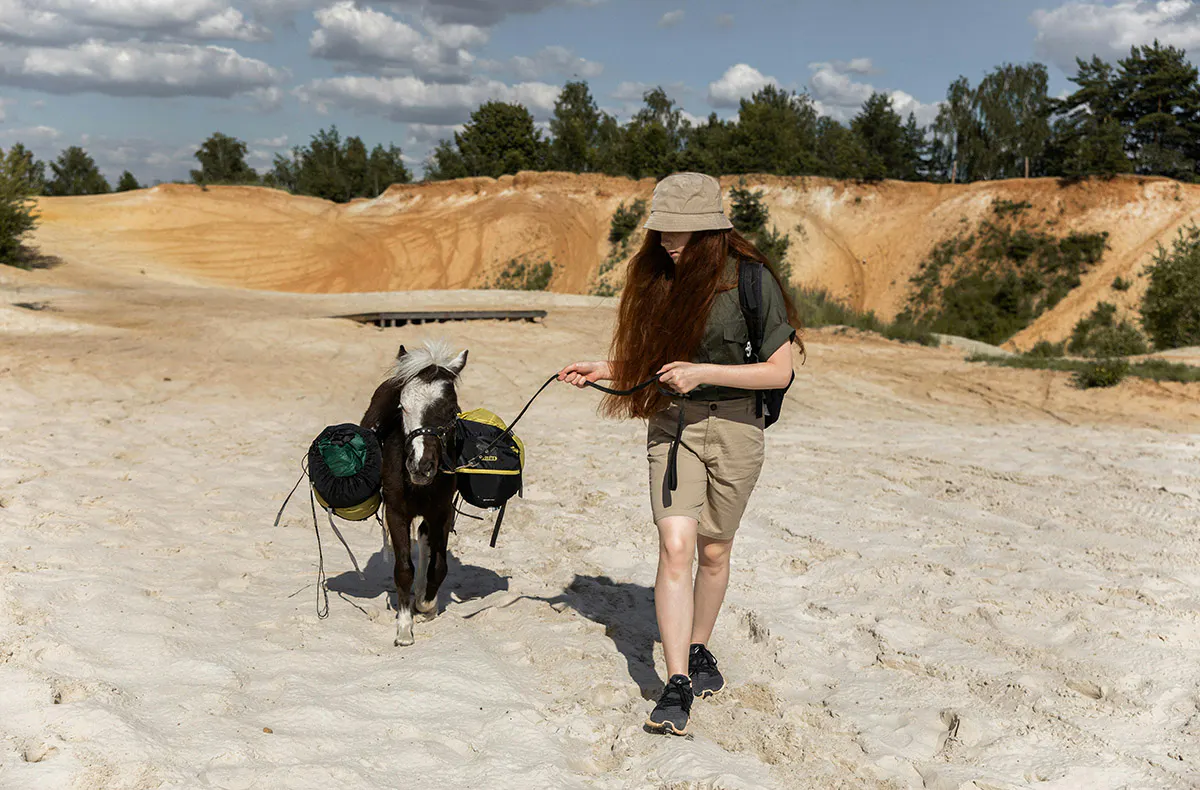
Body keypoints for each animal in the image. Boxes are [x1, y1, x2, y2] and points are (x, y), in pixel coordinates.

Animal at [360, 341, 467, 646]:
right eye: (403, 407)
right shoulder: (396, 513)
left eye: (451, 409)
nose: (420, 465)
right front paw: (404, 629)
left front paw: (426, 606)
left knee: (425, 539)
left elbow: (439, 566)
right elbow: (403, 569)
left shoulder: (443, 511)